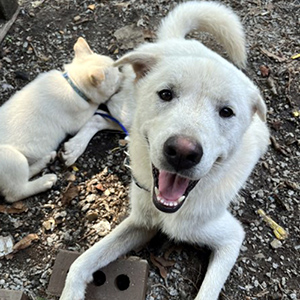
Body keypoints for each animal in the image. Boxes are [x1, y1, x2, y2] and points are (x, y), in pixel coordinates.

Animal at [0, 37, 119, 202]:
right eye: (117, 78)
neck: (73, 83)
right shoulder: (78, 119)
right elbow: (94, 106)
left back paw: (45, 160)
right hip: (12, 159)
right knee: (15, 193)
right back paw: (45, 181)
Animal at [59, 1, 268, 298]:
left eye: (227, 112)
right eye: (166, 94)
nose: (182, 152)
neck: (171, 211)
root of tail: (177, 41)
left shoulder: (230, 239)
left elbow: (207, 293)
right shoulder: (139, 222)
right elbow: (79, 263)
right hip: (128, 112)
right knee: (102, 116)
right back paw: (75, 147)